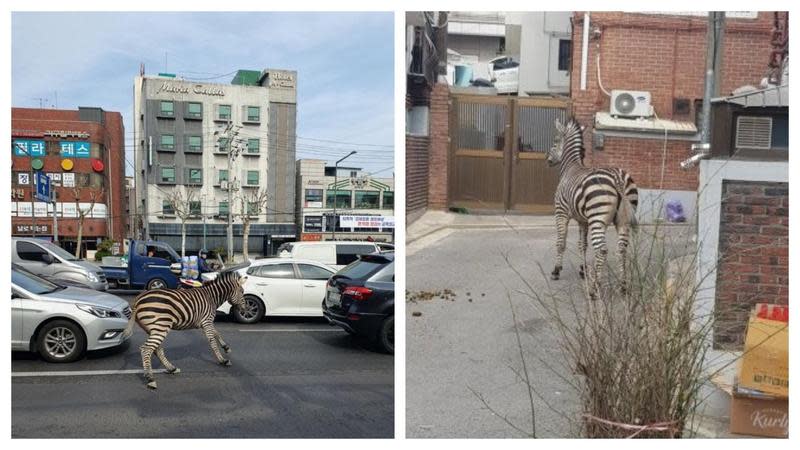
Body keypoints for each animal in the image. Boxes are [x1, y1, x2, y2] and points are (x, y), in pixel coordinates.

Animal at [544, 118, 636, 298]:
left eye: (555, 142)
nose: (548, 160)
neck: (571, 166)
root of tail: (617, 177)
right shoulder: (583, 220)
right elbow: (582, 244)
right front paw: (583, 270)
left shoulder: (561, 213)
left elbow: (561, 242)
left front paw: (556, 270)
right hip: (623, 221)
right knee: (621, 249)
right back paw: (623, 286)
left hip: (598, 220)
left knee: (602, 250)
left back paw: (594, 289)